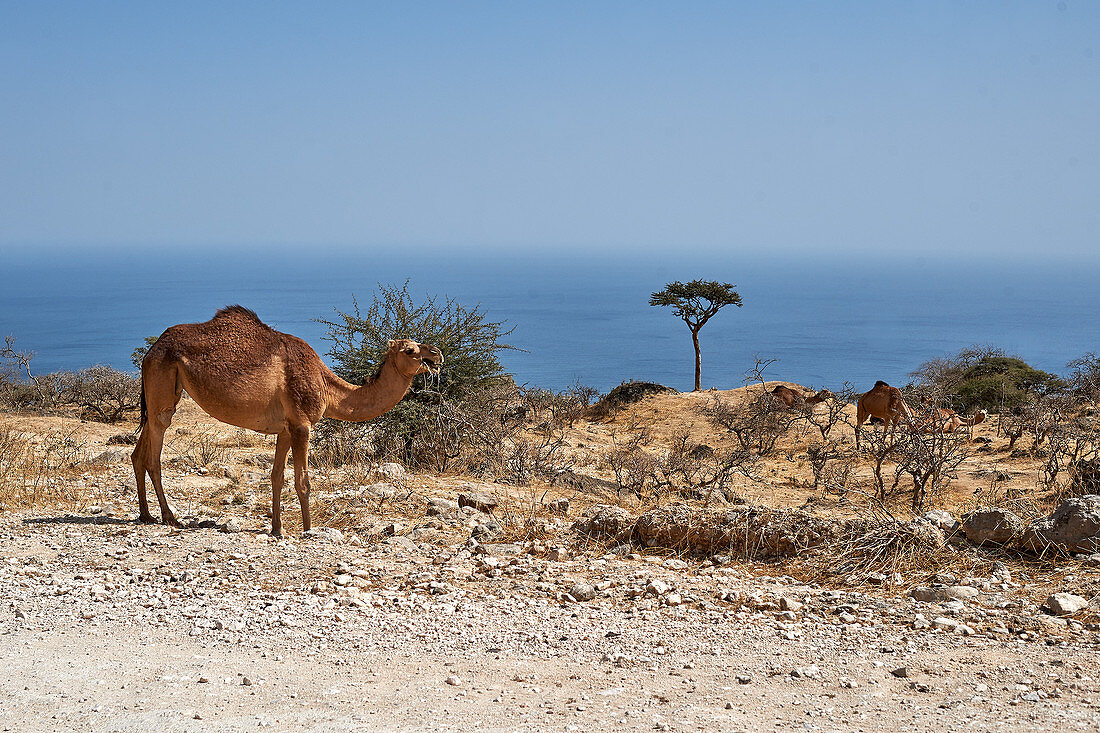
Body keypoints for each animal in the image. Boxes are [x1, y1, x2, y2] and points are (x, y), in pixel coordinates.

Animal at [135, 305, 444, 534]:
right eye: (409, 350)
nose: (437, 353)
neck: (326, 386)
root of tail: (152, 350)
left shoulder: (285, 428)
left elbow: (277, 476)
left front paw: (277, 529)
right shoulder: (302, 425)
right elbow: (303, 481)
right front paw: (308, 530)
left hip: (159, 389)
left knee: (139, 452)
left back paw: (146, 515)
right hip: (163, 380)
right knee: (154, 454)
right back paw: (169, 517)